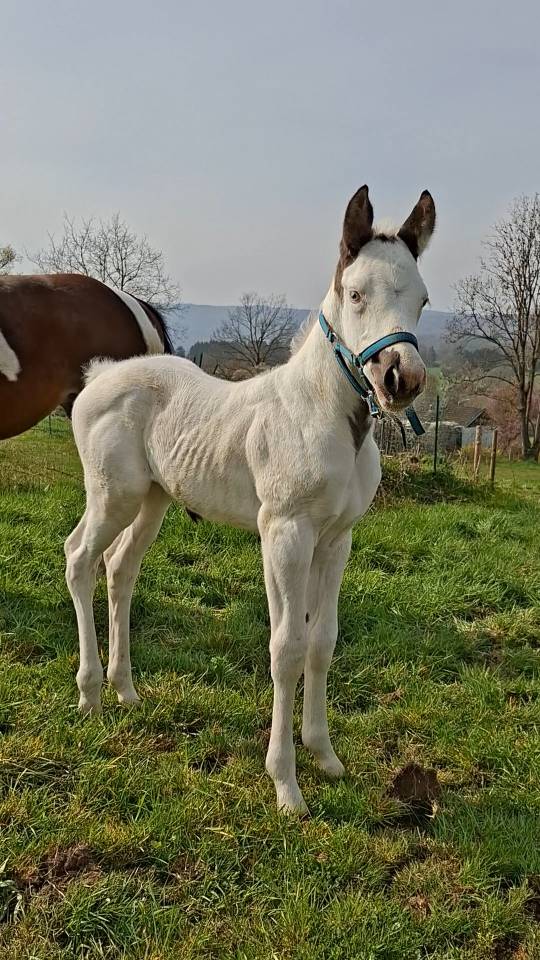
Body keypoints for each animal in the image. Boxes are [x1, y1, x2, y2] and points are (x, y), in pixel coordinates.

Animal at [64, 185, 435, 814]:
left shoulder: (335, 540)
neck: (327, 416)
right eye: (356, 293)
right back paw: (90, 691)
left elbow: (322, 641)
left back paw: (125, 690)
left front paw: (324, 756)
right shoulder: (285, 533)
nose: (399, 379)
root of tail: (97, 378)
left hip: (154, 500)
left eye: (424, 301)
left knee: (119, 568)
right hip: (112, 494)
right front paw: (286, 784)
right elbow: (286, 647)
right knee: (79, 559)